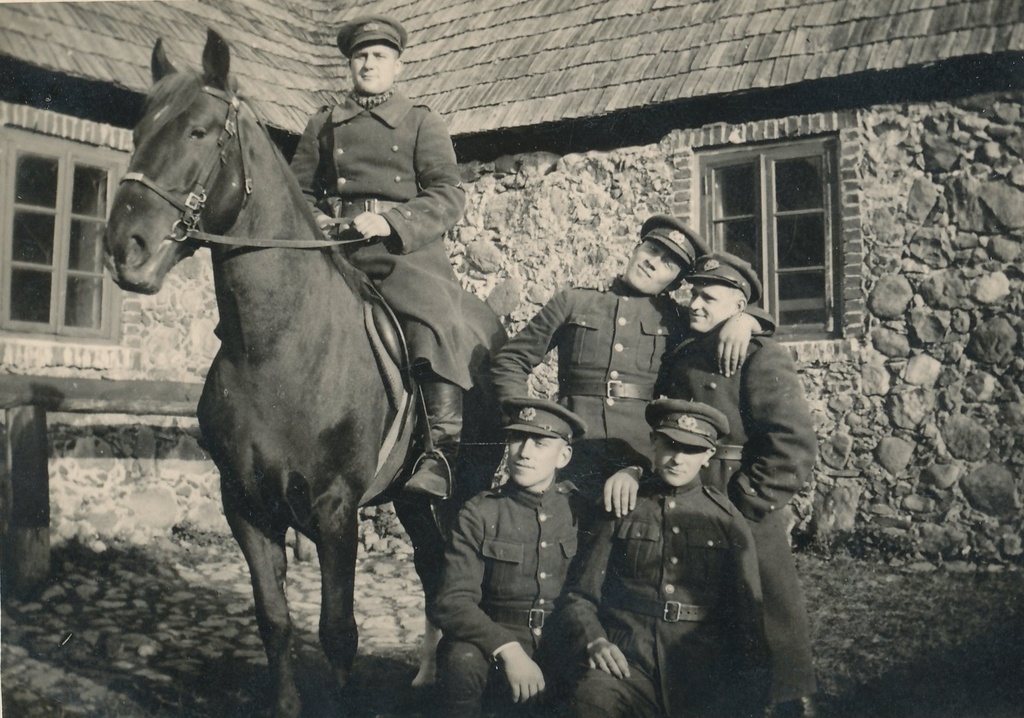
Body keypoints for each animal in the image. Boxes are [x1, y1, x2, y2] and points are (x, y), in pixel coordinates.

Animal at [103, 29, 503, 716]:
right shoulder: (244, 506)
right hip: (412, 500)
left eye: (199, 131)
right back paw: (426, 676)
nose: (123, 247)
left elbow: (337, 630)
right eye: (138, 130)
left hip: (465, 491)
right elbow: (275, 619)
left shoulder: (336, 511)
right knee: (432, 570)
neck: (275, 346)